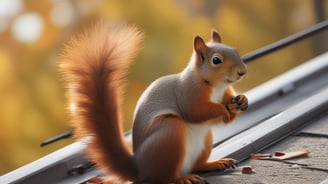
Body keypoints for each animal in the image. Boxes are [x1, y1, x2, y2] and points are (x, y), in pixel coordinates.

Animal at [59, 22, 249, 183]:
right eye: (216, 60)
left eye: (235, 50)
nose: (242, 71)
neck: (216, 86)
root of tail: (140, 169)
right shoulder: (188, 93)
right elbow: (194, 112)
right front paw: (223, 110)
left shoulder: (224, 93)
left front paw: (241, 101)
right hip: (168, 134)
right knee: (164, 177)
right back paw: (182, 179)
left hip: (204, 139)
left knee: (197, 165)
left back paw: (215, 163)